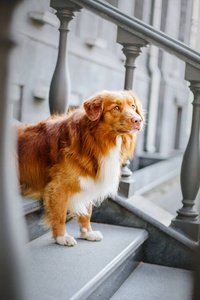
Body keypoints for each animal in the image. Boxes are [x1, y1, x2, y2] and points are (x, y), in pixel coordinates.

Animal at [16, 90, 144, 245]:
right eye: (116, 108)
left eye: (132, 106)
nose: (138, 120)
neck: (96, 140)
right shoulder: (59, 186)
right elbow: (60, 214)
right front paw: (61, 237)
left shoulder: (89, 178)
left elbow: (87, 213)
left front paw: (87, 233)